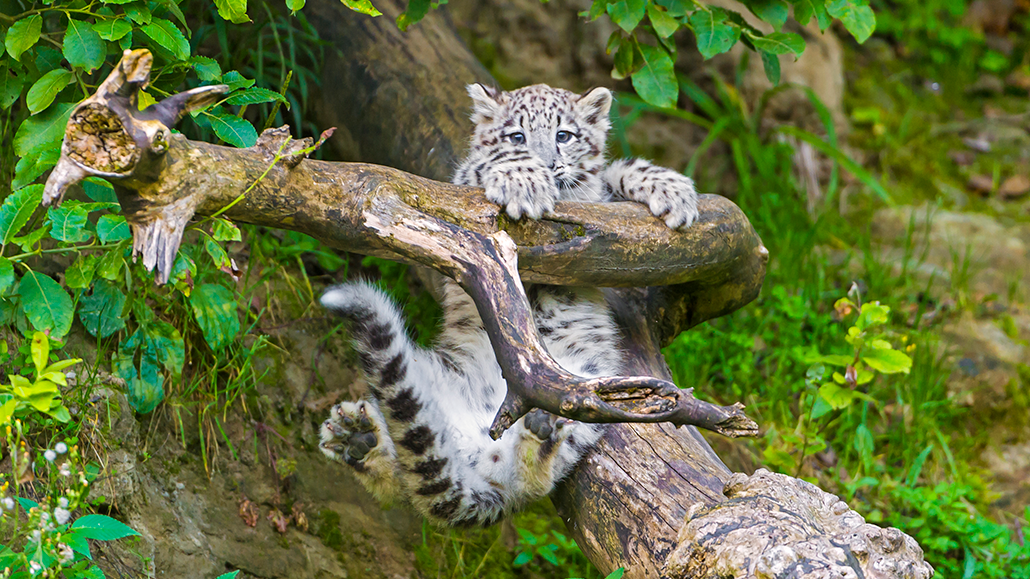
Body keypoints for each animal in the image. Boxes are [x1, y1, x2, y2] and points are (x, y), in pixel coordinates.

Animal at [315, 83, 700, 525]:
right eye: (517, 136)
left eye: (564, 135)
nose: (547, 165)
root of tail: (479, 436)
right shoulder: (460, 189)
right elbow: (481, 165)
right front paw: (524, 182)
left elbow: (612, 175)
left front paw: (673, 190)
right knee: (418, 478)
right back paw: (359, 438)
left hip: (593, 392)